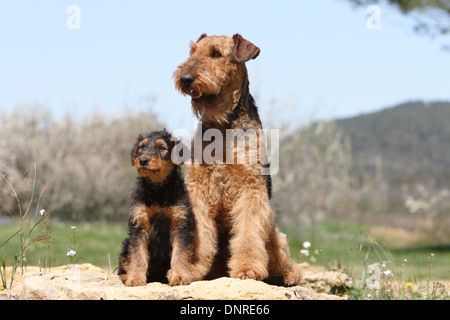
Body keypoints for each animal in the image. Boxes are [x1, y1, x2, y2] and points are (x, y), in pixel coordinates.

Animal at [117, 129, 201, 286]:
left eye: (162, 148)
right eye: (141, 147)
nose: (143, 160)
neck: (158, 191)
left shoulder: (181, 223)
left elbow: (180, 253)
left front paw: (179, 276)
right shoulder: (139, 223)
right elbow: (138, 255)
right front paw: (135, 279)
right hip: (126, 243)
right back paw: (126, 276)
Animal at [174, 33, 300, 286]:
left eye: (216, 54)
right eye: (192, 52)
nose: (186, 78)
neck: (223, 124)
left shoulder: (250, 186)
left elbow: (248, 232)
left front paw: (247, 270)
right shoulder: (198, 187)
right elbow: (199, 234)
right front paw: (188, 269)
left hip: (275, 233)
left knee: (283, 259)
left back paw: (289, 276)